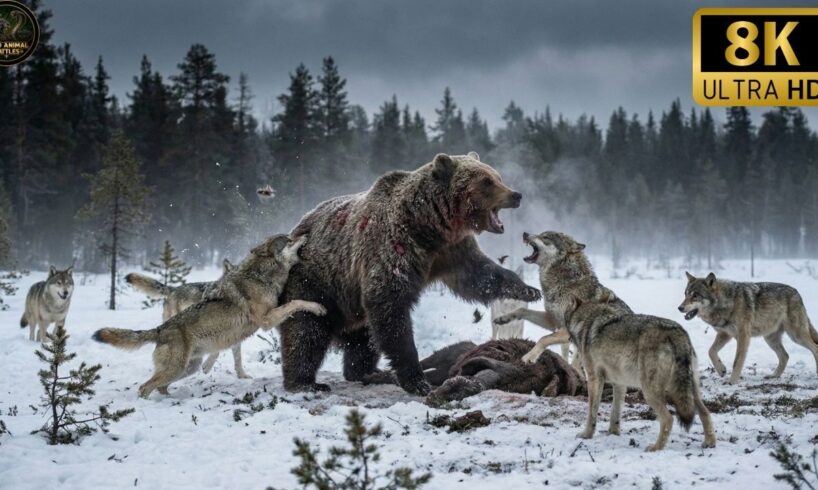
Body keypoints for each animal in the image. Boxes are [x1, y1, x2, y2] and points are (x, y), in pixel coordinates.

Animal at [93, 235, 326, 398]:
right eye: (290, 239)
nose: (305, 235)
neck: (261, 277)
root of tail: (160, 330)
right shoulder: (266, 320)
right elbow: (296, 302)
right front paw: (318, 307)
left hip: (187, 368)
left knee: (160, 387)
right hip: (176, 368)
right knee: (144, 387)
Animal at [279, 152, 542, 395]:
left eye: (497, 176)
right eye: (487, 181)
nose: (516, 195)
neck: (429, 226)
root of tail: (294, 229)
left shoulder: (451, 250)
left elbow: (479, 275)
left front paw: (528, 290)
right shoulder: (393, 248)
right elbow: (391, 307)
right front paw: (417, 380)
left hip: (351, 302)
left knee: (363, 338)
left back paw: (369, 372)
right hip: (314, 282)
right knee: (306, 331)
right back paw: (305, 382)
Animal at [493, 231, 632, 365]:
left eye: (546, 237)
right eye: (542, 234)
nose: (525, 234)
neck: (565, 284)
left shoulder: (567, 329)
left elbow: (544, 338)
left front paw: (529, 356)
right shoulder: (553, 321)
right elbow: (522, 310)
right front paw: (503, 318)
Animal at [563, 295, 716, 452]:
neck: (587, 320)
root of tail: (677, 332)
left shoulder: (594, 379)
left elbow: (591, 412)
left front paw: (586, 434)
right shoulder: (619, 383)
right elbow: (615, 413)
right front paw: (613, 433)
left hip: (650, 392)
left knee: (668, 418)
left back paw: (656, 448)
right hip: (689, 391)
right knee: (706, 413)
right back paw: (709, 443)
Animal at [679, 272, 818, 384]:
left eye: (695, 295)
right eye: (685, 294)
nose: (679, 308)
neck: (727, 302)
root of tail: (797, 292)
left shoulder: (743, 336)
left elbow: (737, 361)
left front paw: (732, 381)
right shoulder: (725, 334)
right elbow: (711, 351)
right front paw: (721, 370)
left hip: (796, 336)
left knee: (815, 348)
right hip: (770, 339)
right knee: (785, 356)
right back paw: (773, 376)